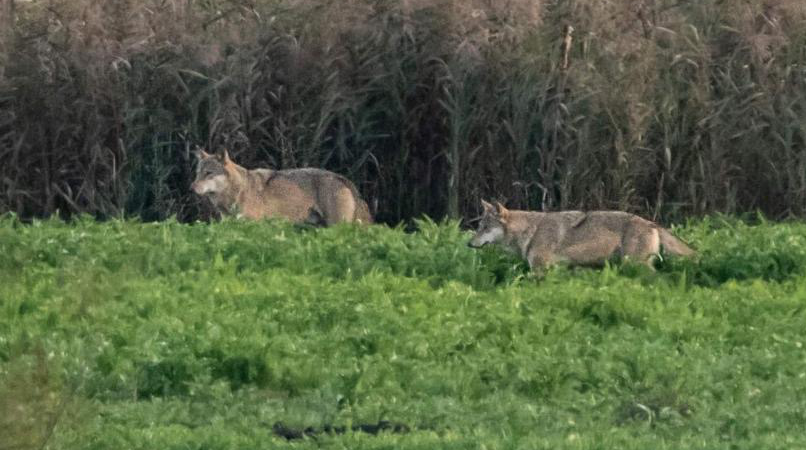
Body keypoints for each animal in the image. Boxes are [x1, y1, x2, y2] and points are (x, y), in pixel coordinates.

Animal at [470, 199, 696, 272]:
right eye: (479, 227)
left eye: (485, 228)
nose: (468, 244)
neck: (530, 231)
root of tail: (651, 223)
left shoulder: (540, 270)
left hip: (634, 264)